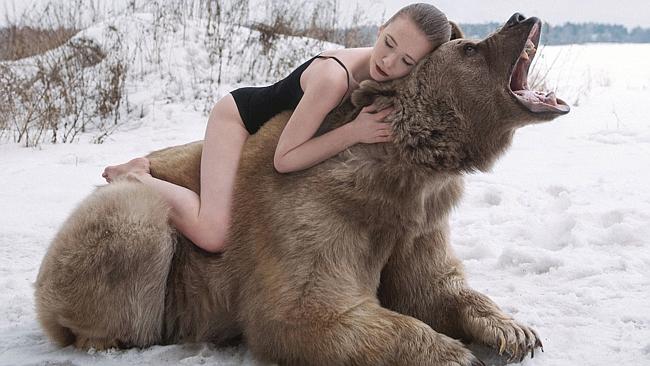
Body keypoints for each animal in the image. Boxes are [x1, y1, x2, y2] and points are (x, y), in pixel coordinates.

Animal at [35, 14, 568, 366]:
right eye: (471, 49)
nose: (522, 16)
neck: (403, 169)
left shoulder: (419, 218)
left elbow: (434, 285)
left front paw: (515, 330)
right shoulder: (319, 207)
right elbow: (308, 310)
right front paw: (452, 353)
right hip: (120, 236)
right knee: (133, 223)